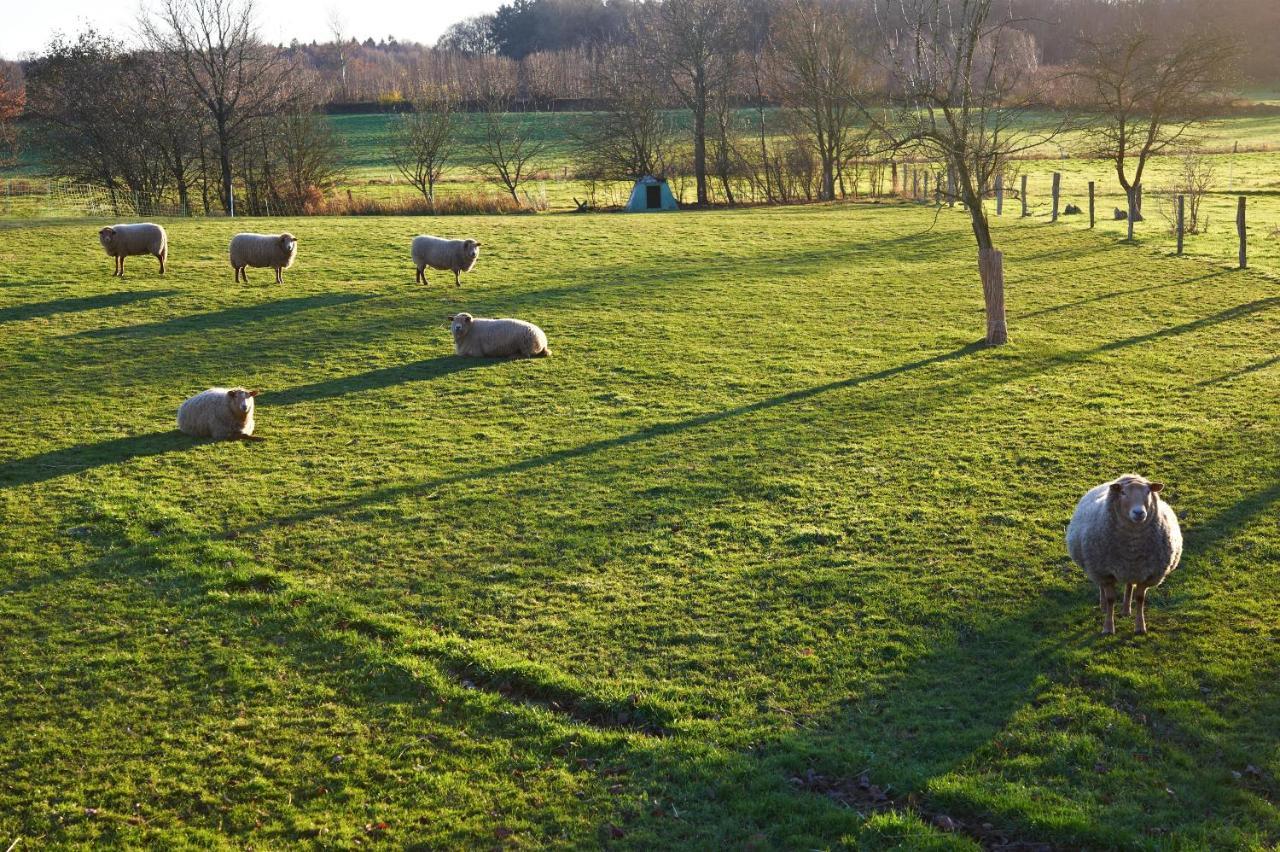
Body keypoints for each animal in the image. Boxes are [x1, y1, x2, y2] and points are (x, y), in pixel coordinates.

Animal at [1064, 473, 1182, 634]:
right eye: (1123, 493)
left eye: (1148, 492)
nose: (1139, 513)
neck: (1132, 544)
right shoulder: (1104, 572)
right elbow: (1110, 599)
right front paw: (1108, 627)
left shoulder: (1147, 574)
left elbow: (1140, 598)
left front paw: (1140, 626)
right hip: (1096, 567)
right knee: (1101, 587)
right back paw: (1103, 606)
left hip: (1131, 570)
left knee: (1129, 585)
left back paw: (1126, 609)